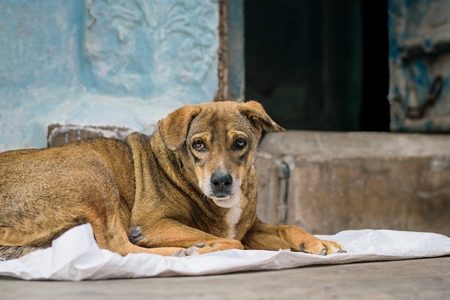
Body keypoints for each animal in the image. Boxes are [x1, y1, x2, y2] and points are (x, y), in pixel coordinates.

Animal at [0, 101, 344, 260]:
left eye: (240, 143)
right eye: (198, 145)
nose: (221, 181)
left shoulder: (251, 227)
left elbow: (288, 227)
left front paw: (319, 242)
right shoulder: (155, 223)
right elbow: (230, 241)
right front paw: (201, 246)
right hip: (93, 171)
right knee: (116, 246)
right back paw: (183, 252)